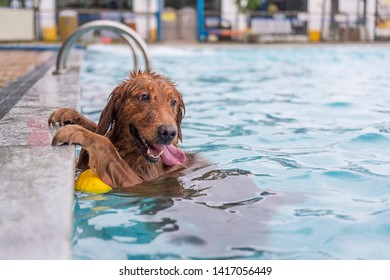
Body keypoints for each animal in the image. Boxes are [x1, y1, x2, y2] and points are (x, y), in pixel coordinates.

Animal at [49, 70, 200, 188]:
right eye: (144, 97)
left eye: (173, 102)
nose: (169, 132)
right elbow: (100, 130)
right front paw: (69, 114)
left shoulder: (136, 183)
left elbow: (106, 143)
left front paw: (77, 131)